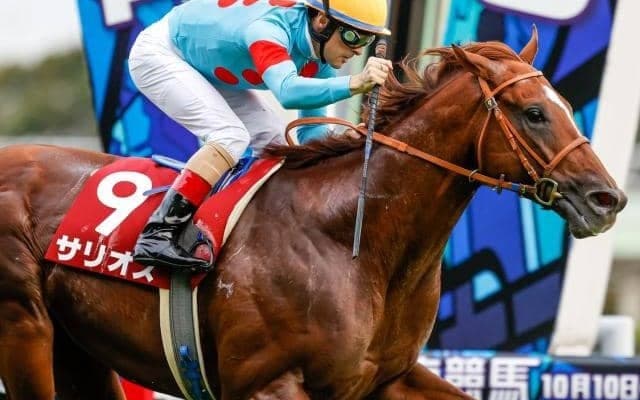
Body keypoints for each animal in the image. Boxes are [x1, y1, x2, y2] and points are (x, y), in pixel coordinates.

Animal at [0, 29, 626, 399]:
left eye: (566, 105)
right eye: (534, 113)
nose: (609, 199)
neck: (356, 243)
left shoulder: (387, 379)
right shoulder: (268, 382)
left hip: (79, 350)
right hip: (24, 328)